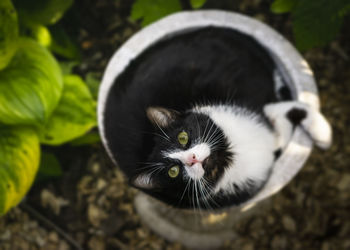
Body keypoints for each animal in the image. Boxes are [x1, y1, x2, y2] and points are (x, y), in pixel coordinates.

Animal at [102, 26, 332, 209]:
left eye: (183, 137)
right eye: (173, 172)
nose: (192, 159)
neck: (231, 153)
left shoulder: (254, 114)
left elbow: (290, 109)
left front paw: (323, 133)